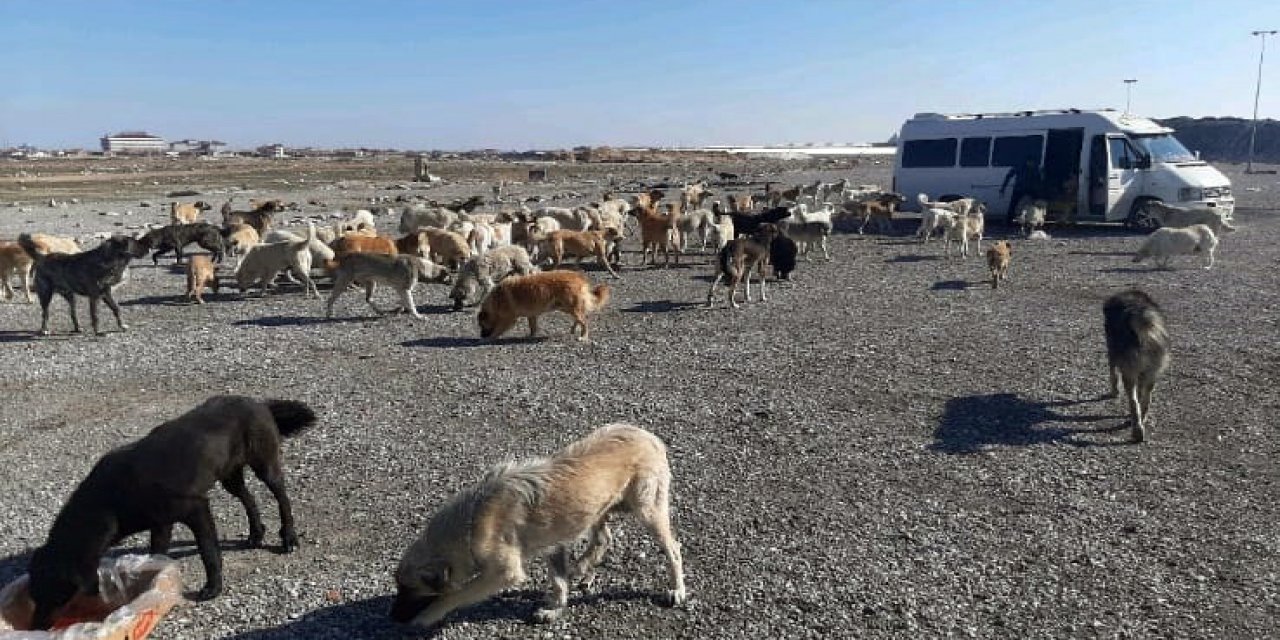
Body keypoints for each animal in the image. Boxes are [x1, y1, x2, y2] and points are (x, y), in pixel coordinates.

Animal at [17, 234, 147, 335]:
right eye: (135, 243)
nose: (148, 249)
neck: (108, 260)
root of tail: (42, 257)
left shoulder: (106, 294)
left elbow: (116, 309)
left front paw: (122, 325)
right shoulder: (94, 297)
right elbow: (95, 315)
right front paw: (98, 332)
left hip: (70, 296)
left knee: (73, 313)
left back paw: (77, 328)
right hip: (46, 295)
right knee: (45, 313)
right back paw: (44, 329)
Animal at [26, 394, 316, 629]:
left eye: (51, 593)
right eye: (33, 595)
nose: (35, 626)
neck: (110, 499)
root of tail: (257, 401)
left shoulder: (196, 508)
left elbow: (209, 552)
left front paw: (213, 588)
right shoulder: (161, 523)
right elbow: (158, 553)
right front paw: (152, 585)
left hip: (265, 464)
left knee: (282, 497)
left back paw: (288, 537)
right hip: (229, 475)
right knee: (248, 498)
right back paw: (256, 533)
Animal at [391, 422, 686, 627]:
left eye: (410, 588)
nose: (394, 617)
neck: (471, 521)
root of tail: (650, 437)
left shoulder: (503, 572)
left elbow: (453, 595)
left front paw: (428, 616)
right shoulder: (552, 543)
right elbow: (558, 580)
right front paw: (556, 606)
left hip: (647, 509)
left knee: (673, 548)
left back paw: (677, 589)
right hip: (595, 508)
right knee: (604, 538)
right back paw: (583, 568)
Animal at [481, 268, 611, 343]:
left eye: (482, 326)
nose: (482, 336)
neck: (496, 300)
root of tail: (579, 277)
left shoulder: (508, 319)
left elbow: (498, 329)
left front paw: (489, 338)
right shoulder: (531, 315)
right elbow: (533, 327)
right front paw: (531, 336)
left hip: (570, 307)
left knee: (584, 321)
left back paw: (583, 336)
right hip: (565, 307)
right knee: (580, 318)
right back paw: (574, 329)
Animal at [1100, 289, 1172, 442]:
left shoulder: (1112, 352)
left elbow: (1113, 374)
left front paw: (1114, 392)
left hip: (1129, 370)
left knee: (1133, 402)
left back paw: (1137, 431)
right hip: (1152, 371)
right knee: (1145, 399)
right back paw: (1140, 422)